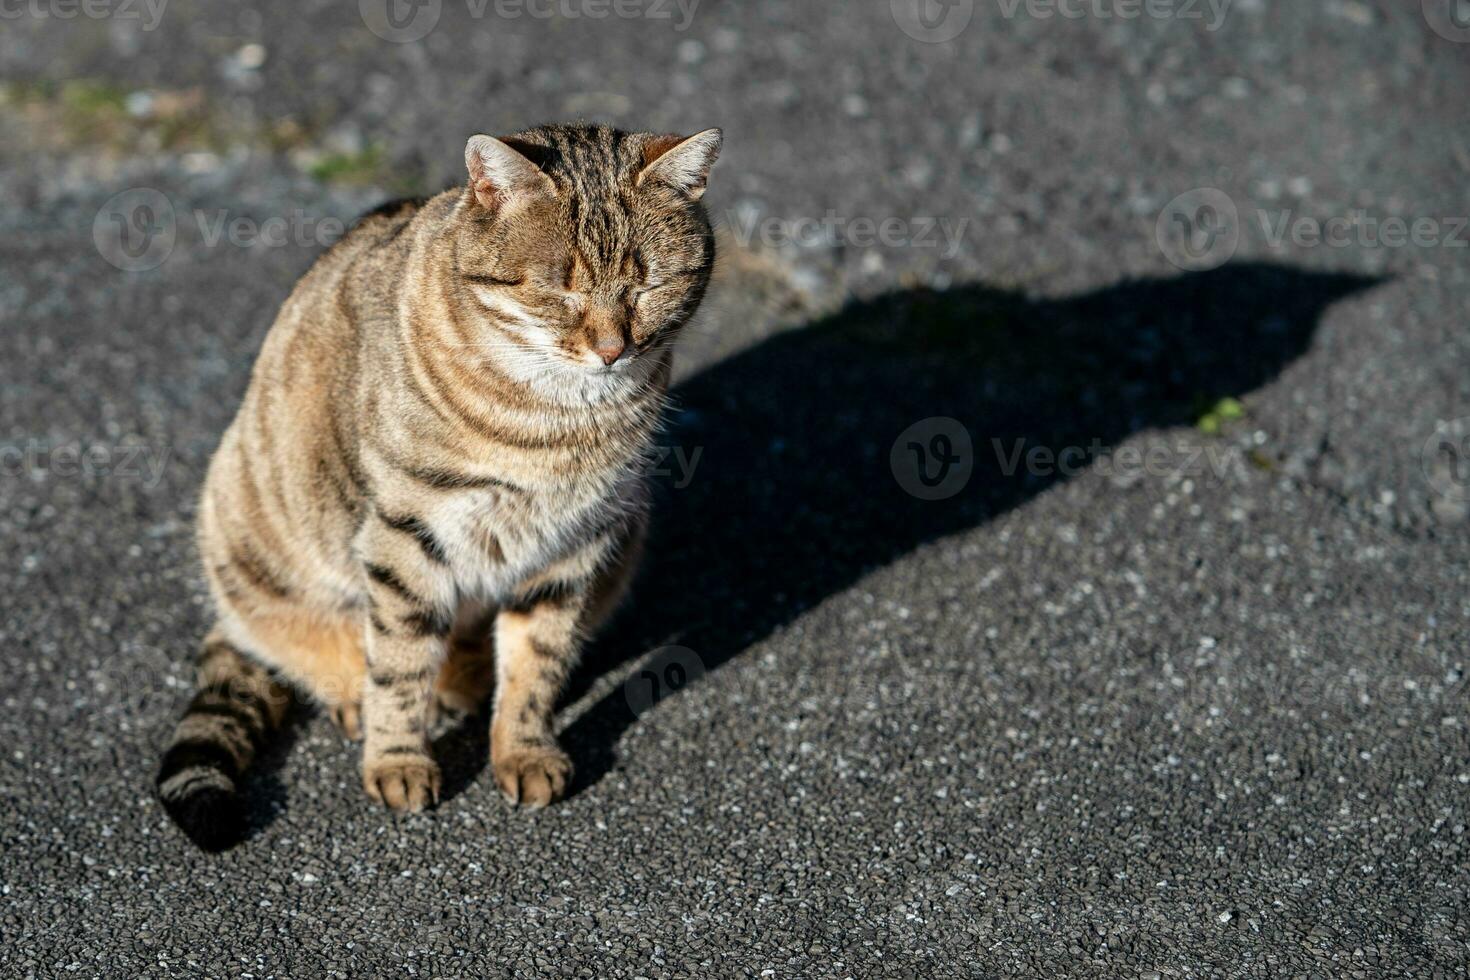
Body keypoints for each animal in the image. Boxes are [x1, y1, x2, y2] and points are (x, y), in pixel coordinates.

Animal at [153, 124, 717, 852]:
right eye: (559, 289)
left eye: (648, 285)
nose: (613, 349)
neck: (559, 419)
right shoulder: (406, 536)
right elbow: (399, 663)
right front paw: (398, 760)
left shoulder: (575, 543)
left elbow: (538, 661)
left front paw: (523, 748)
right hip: (243, 528)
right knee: (308, 642)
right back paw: (358, 695)